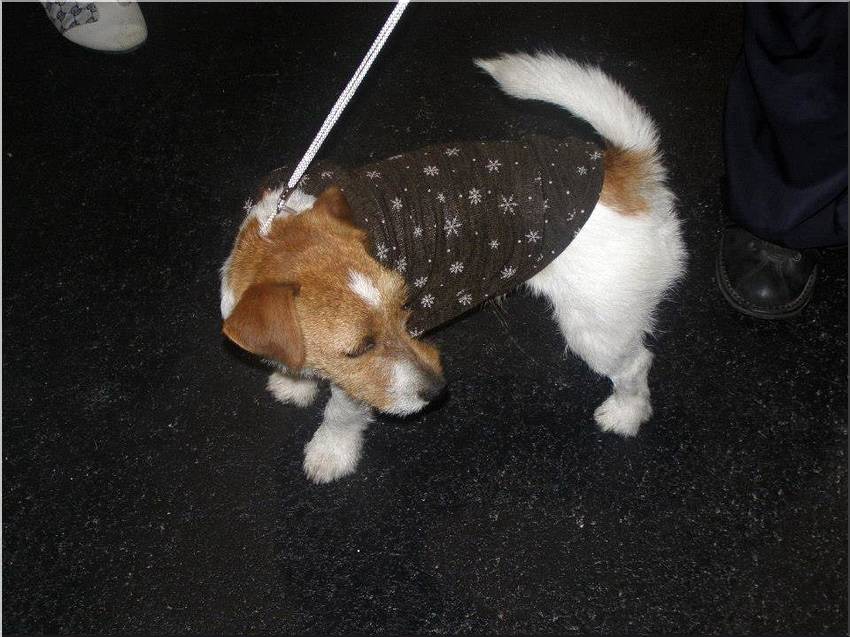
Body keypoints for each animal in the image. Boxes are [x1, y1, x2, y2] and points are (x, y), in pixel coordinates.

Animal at [220, 53, 686, 484]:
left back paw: (626, 413)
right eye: (361, 347)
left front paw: (330, 453)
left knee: (636, 365)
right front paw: (294, 383)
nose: (437, 391)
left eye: (405, 308)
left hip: (597, 331)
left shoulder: (357, 386)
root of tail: (621, 170)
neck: (276, 228)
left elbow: (340, 415)